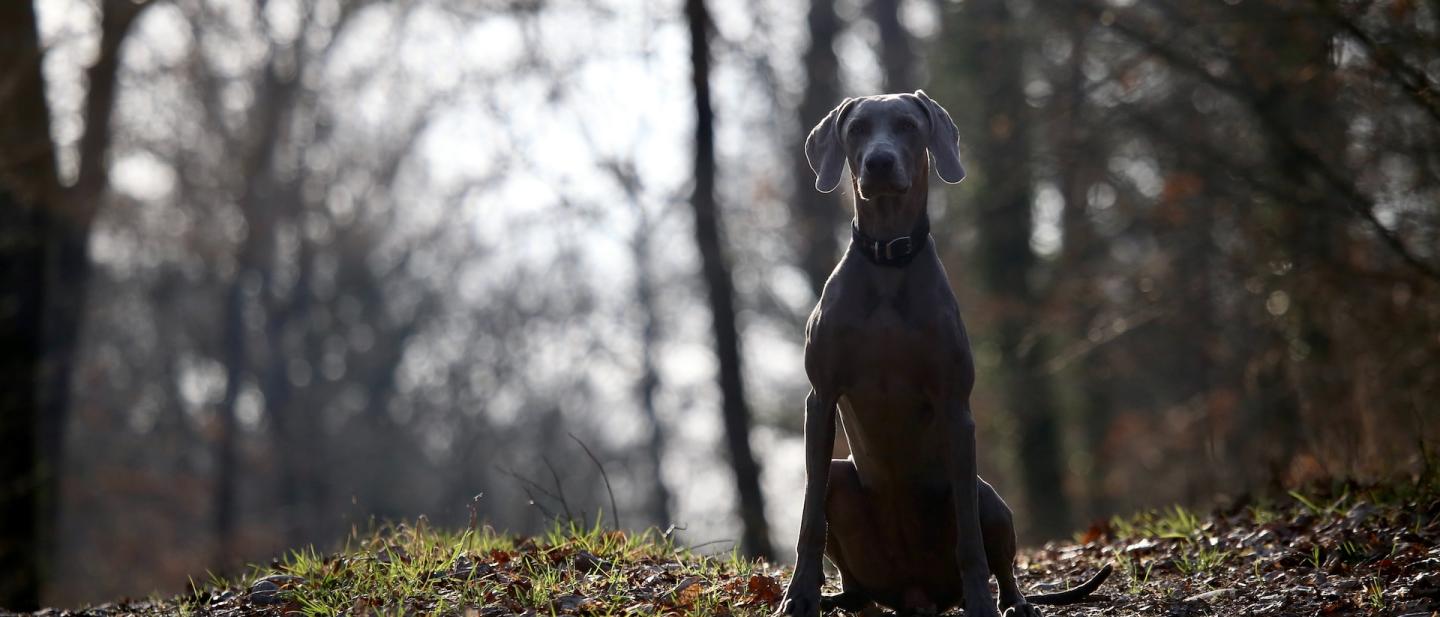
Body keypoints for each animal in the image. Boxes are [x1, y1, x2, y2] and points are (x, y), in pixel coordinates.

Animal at [771, 91, 1105, 617]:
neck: (888, 259)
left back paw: (1011, 602)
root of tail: (915, 594)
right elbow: (808, 516)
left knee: (999, 555)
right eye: (857, 128)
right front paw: (799, 595)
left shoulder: (955, 405)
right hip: (844, 482)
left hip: (989, 496)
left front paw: (981, 603)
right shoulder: (820, 399)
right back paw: (837, 598)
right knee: (851, 571)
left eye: (908, 126)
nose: (879, 162)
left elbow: (968, 533)